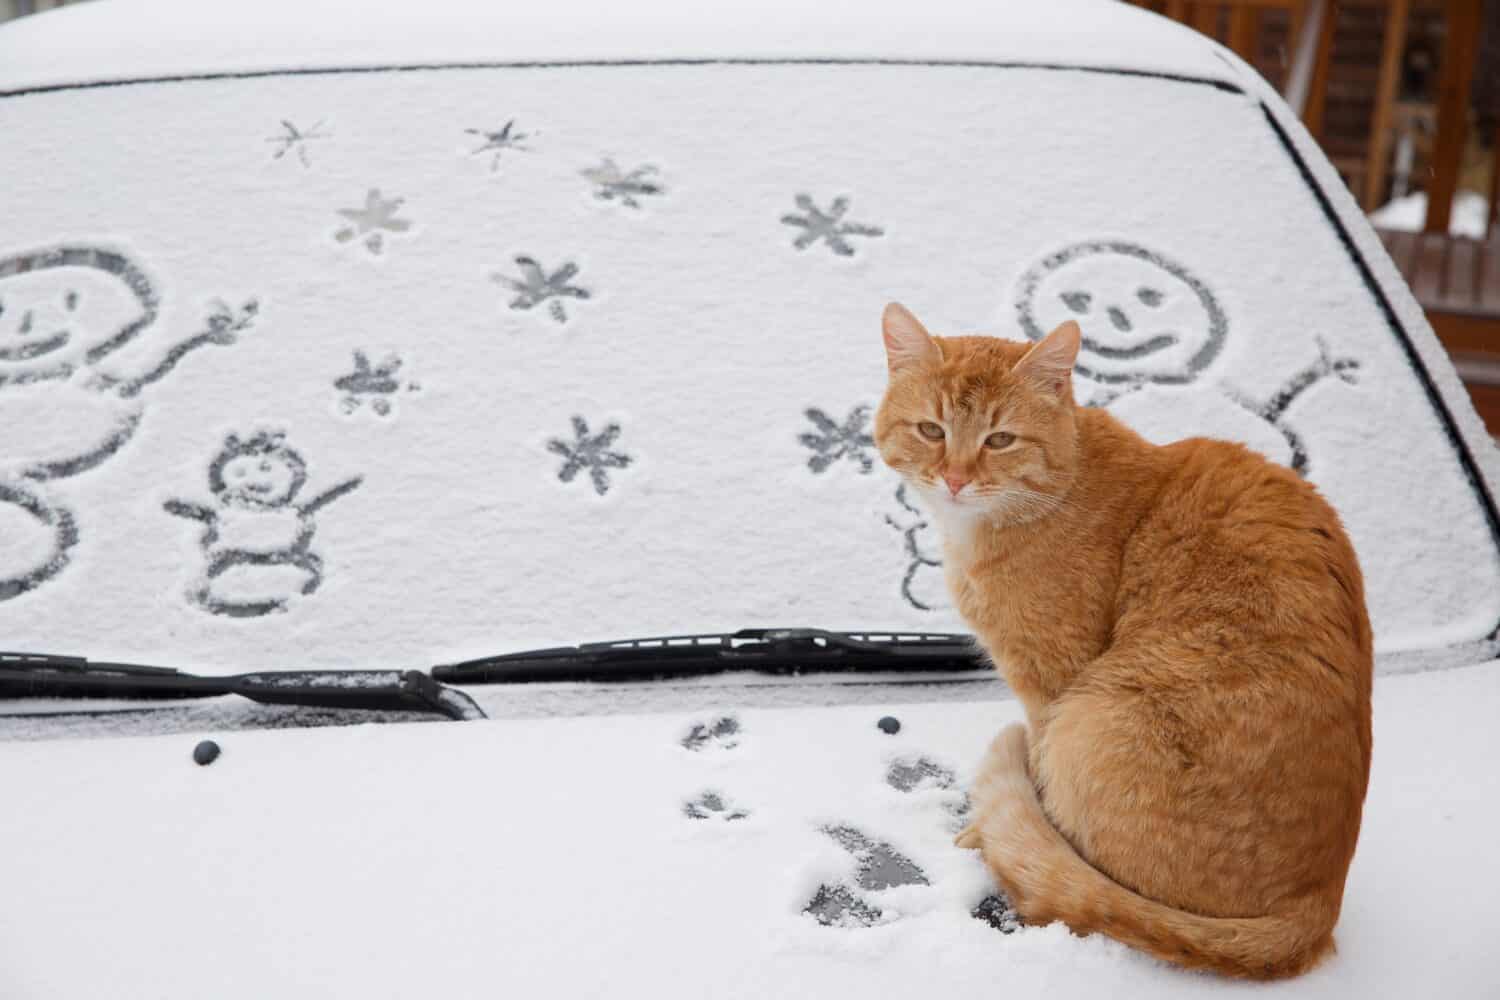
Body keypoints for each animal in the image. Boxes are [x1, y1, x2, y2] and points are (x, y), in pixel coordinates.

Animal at [876, 302, 1374, 977]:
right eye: (931, 430)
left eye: (999, 440)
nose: (953, 478)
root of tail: (1315, 909)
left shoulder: (1051, 684)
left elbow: (1036, 774)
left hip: (1093, 715)